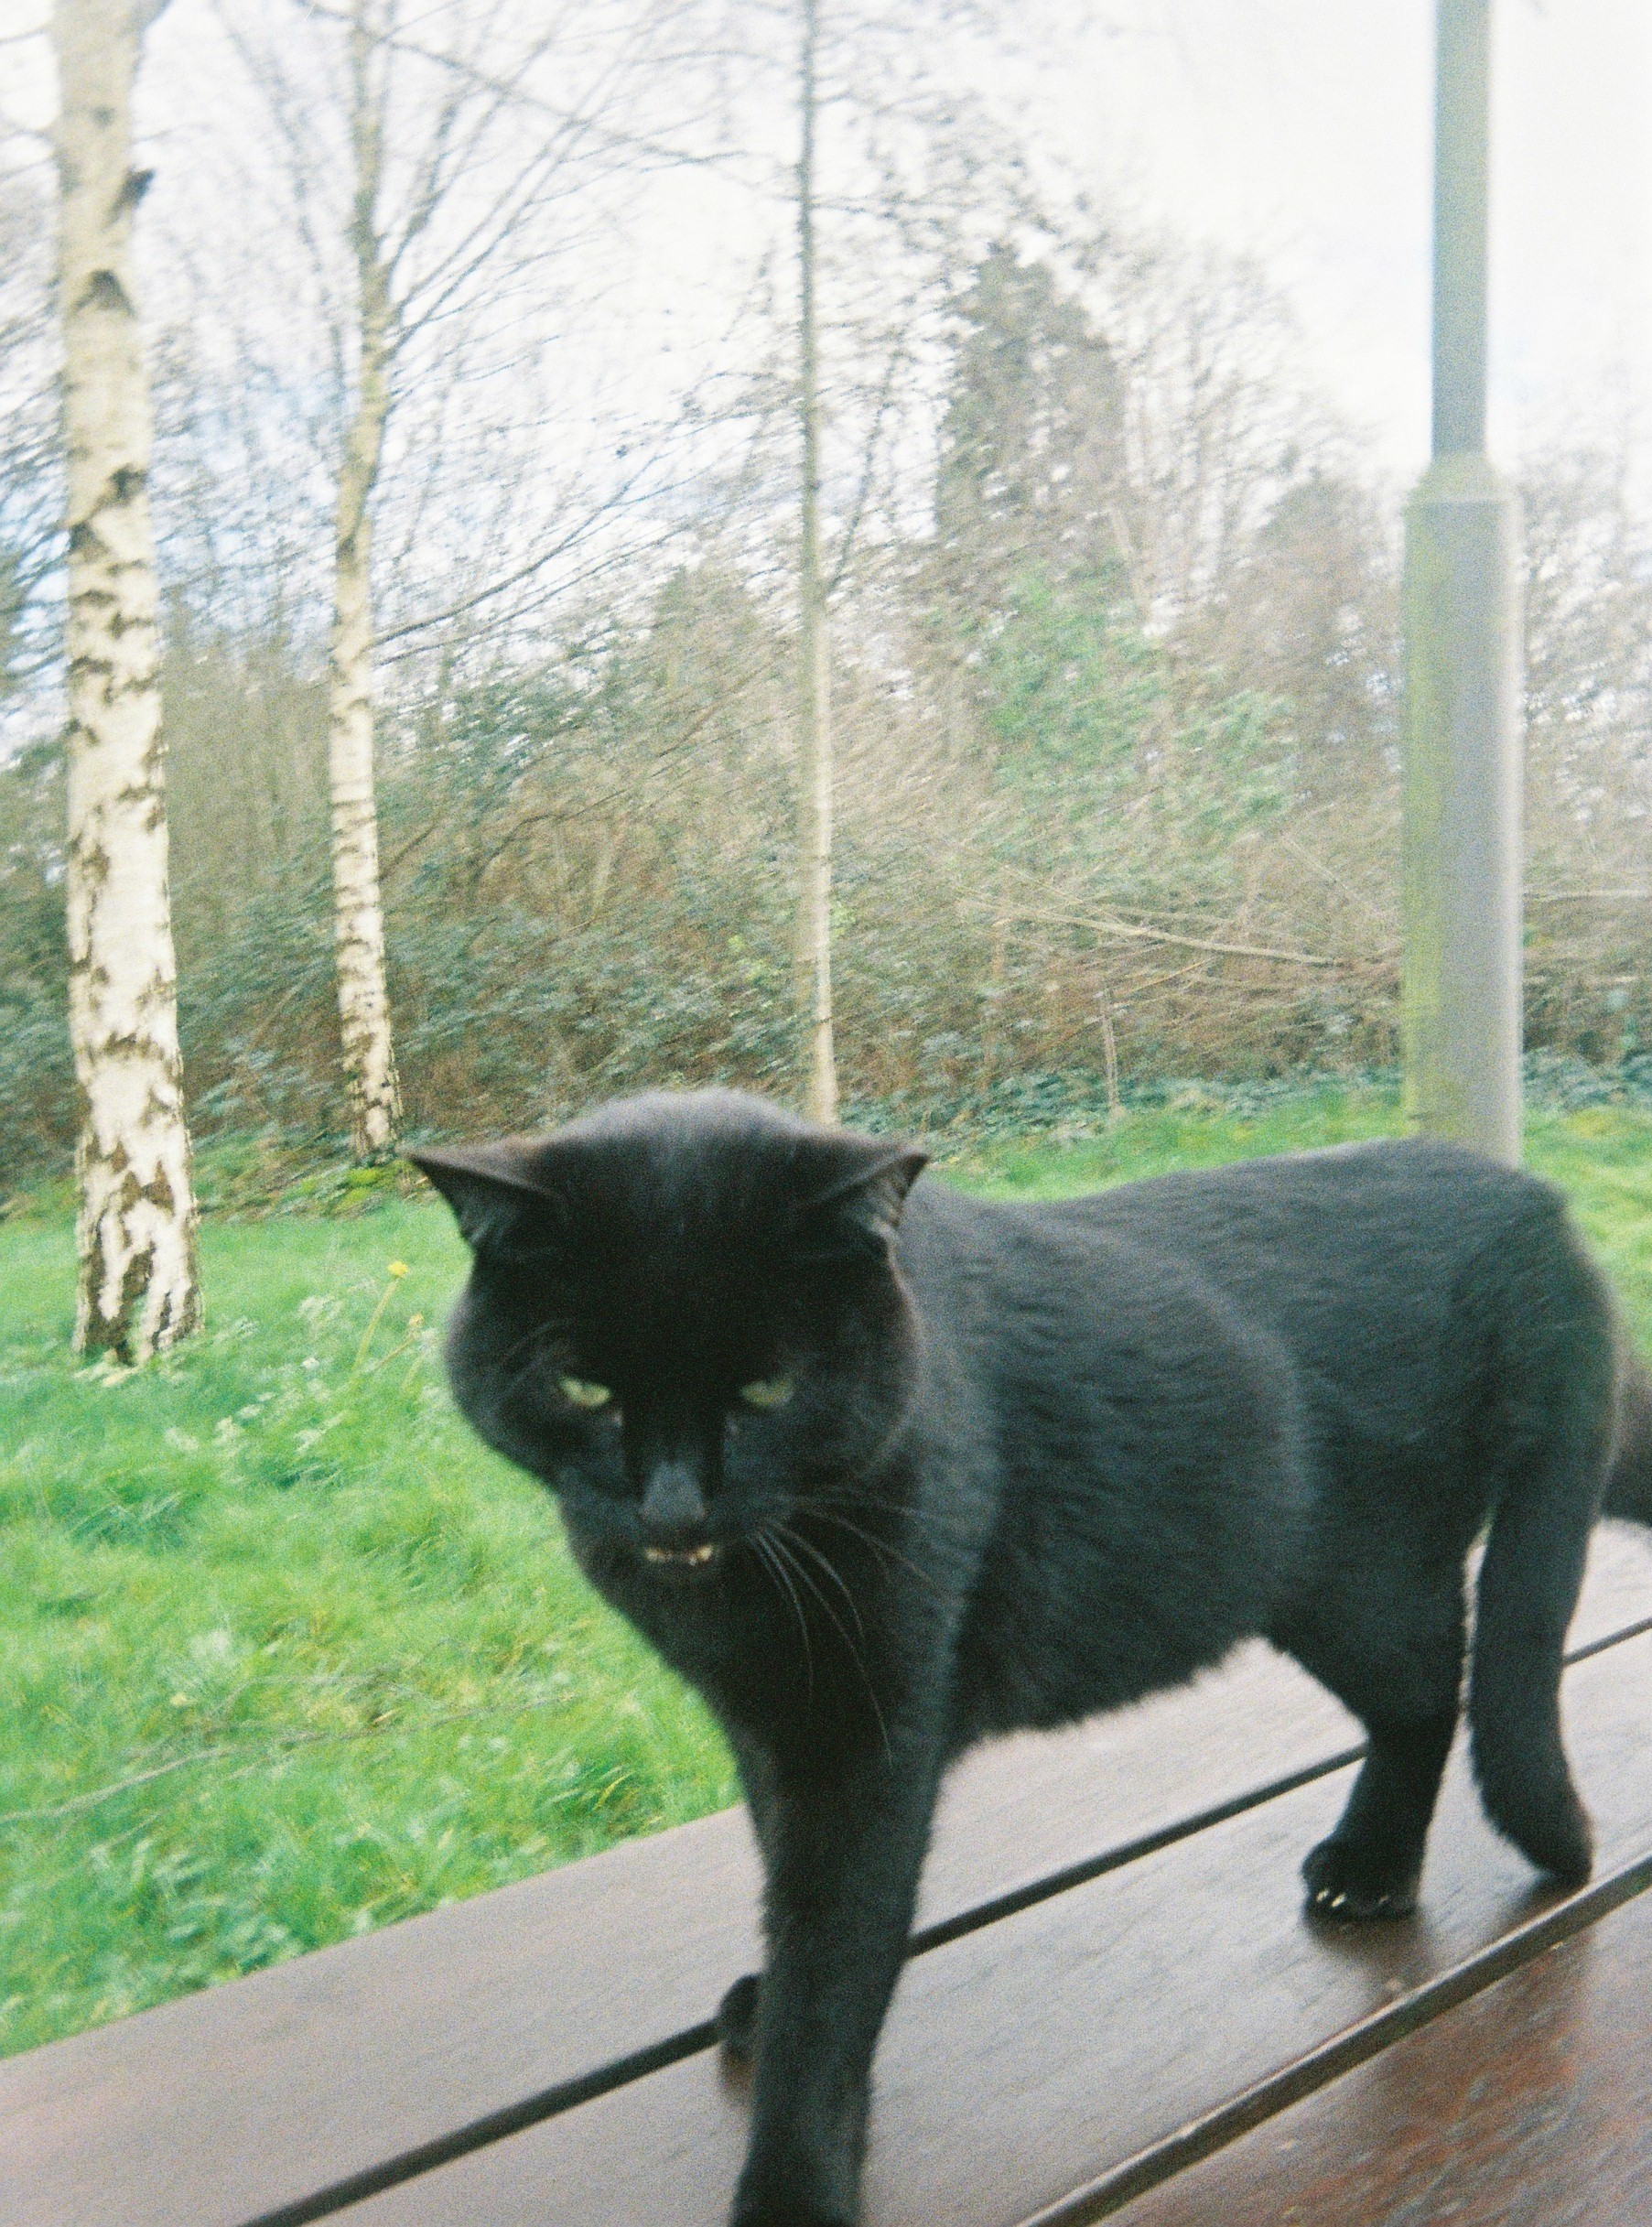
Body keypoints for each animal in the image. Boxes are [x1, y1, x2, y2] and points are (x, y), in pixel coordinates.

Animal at [412, 1096, 1652, 2227]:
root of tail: (1532, 1209)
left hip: (1358, 1584)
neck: (737, 1588)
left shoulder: (863, 1736)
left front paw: (791, 2186)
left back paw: (1374, 1866)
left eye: (766, 1388)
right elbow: (782, 1882)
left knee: (1437, 1684)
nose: (670, 1504)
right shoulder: (765, 1723)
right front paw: (767, 2005)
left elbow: (835, 1951)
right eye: (583, 1386)